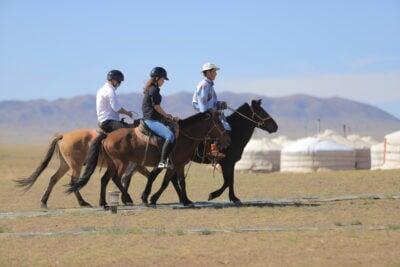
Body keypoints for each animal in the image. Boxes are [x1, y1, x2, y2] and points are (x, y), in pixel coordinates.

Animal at [14, 130, 150, 209]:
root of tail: (63, 136)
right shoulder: (134, 166)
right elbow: (127, 179)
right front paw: (129, 199)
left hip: (65, 165)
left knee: (54, 179)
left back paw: (44, 202)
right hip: (76, 165)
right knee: (73, 182)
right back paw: (83, 202)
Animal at [66, 110, 231, 208]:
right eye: (219, 123)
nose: (227, 140)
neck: (185, 136)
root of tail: (107, 136)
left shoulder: (179, 165)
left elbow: (179, 182)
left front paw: (186, 200)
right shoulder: (173, 164)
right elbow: (165, 182)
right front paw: (151, 198)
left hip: (113, 163)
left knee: (105, 179)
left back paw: (103, 202)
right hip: (121, 163)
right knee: (116, 178)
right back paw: (127, 198)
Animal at [123, 99, 276, 206]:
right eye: (262, 112)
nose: (275, 127)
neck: (234, 132)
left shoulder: (227, 163)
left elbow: (230, 181)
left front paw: (232, 198)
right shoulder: (227, 162)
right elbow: (228, 181)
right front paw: (215, 195)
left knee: (159, 176)